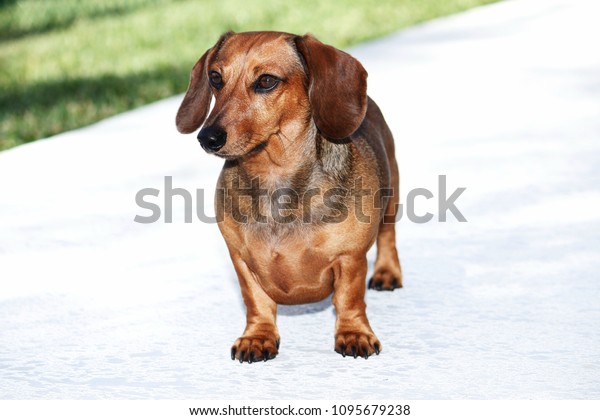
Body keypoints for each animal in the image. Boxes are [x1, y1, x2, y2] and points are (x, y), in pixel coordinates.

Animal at [176, 31, 400, 362]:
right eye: (215, 78)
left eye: (266, 81)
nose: (207, 138)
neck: (275, 178)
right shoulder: (240, 260)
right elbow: (255, 300)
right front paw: (257, 337)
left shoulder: (350, 258)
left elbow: (348, 299)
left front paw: (354, 333)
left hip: (392, 194)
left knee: (388, 236)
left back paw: (387, 273)